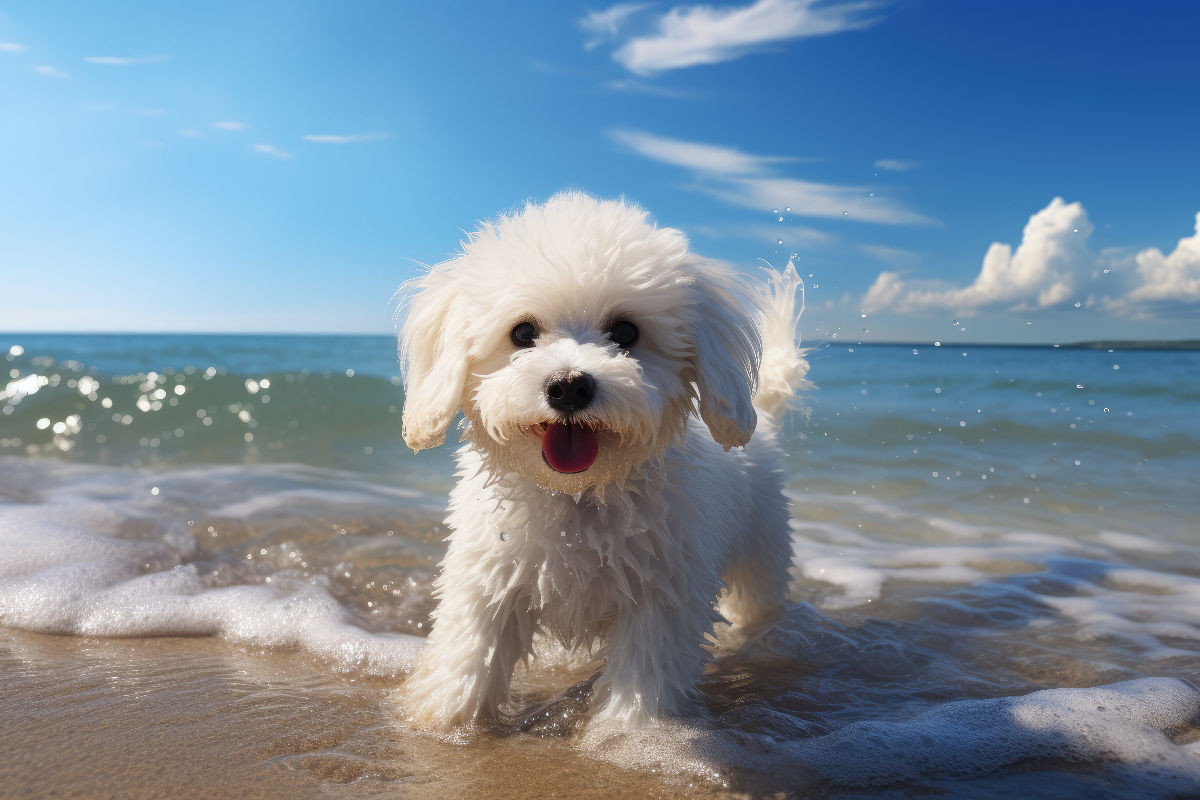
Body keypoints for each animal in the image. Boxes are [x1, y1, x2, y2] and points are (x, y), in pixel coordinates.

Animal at [400, 194, 806, 734]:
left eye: (626, 331)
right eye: (522, 332)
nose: (569, 385)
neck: (579, 497)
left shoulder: (662, 599)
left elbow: (642, 681)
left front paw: (626, 737)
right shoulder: (487, 580)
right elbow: (467, 661)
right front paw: (443, 722)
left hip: (763, 548)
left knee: (758, 599)